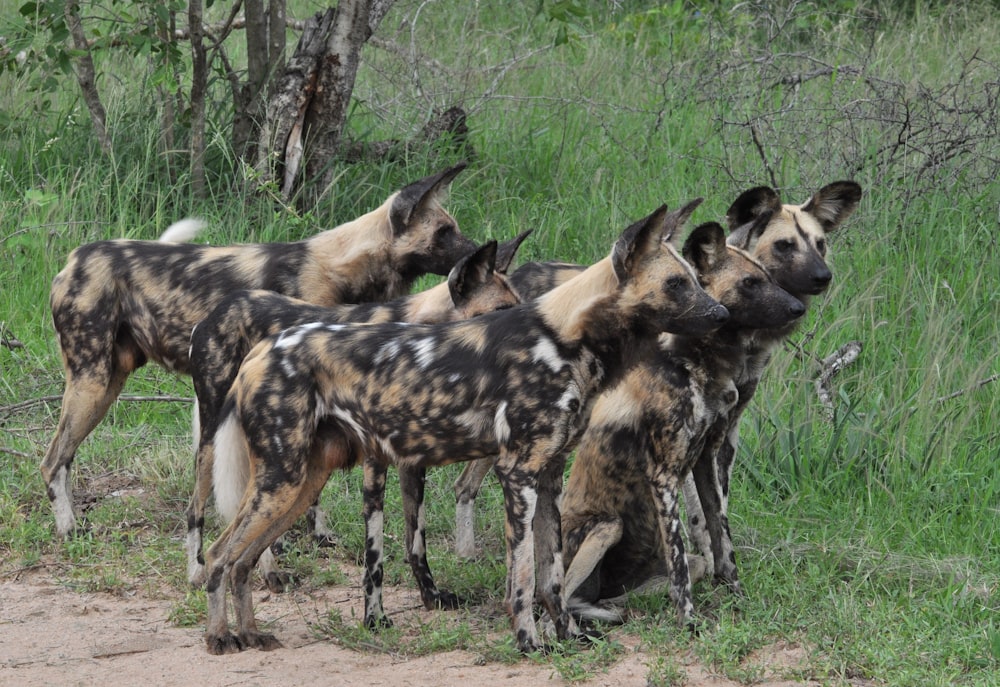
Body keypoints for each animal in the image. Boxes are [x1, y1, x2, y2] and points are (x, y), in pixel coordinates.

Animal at [42, 164, 472, 540]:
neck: (343, 266)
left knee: (64, 460)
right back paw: (68, 530)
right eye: (445, 232)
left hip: (107, 385)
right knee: (51, 463)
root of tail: (75, 257)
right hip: (92, 384)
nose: (480, 251)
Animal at [188, 231, 532, 592]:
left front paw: (432, 593)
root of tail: (214, 313)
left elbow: (416, 542)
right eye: (500, 309)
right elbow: (377, 550)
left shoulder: (412, 462)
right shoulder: (376, 461)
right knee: (198, 509)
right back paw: (208, 571)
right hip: (214, 445)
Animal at [560, 218, 808, 628]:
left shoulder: (707, 461)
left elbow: (722, 542)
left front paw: (737, 596)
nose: (798, 307)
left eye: (768, 277)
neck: (697, 365)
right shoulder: (663, 477)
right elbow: (678, 561)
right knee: (561, 596)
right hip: (605, 526)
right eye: (749, 283)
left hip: (634, 571)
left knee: (635, 589)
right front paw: (689, 621)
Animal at [684, 183, 864, 596]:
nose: (823, 276)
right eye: (784, 246)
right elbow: (701, 513)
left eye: (820, 243)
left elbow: (719, 507)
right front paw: (707, 561)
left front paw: (723, 565)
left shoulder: (725, 434)